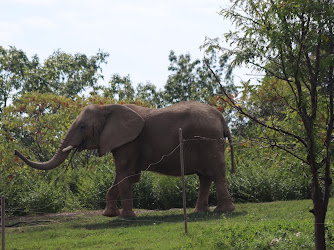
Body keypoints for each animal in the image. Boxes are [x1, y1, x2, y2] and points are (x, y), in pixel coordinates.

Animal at [15, 100, 235, 218]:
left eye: (83, 127)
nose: (16, 152)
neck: (106, 108)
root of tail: (222, 118)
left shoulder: (129, 142)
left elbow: (124, 173)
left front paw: (126, 218)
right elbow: (124, 176)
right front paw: (109, 215)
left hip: (208, 141)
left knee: (216, 174)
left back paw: (222, 211)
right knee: (205, 176)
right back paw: (201, 212)